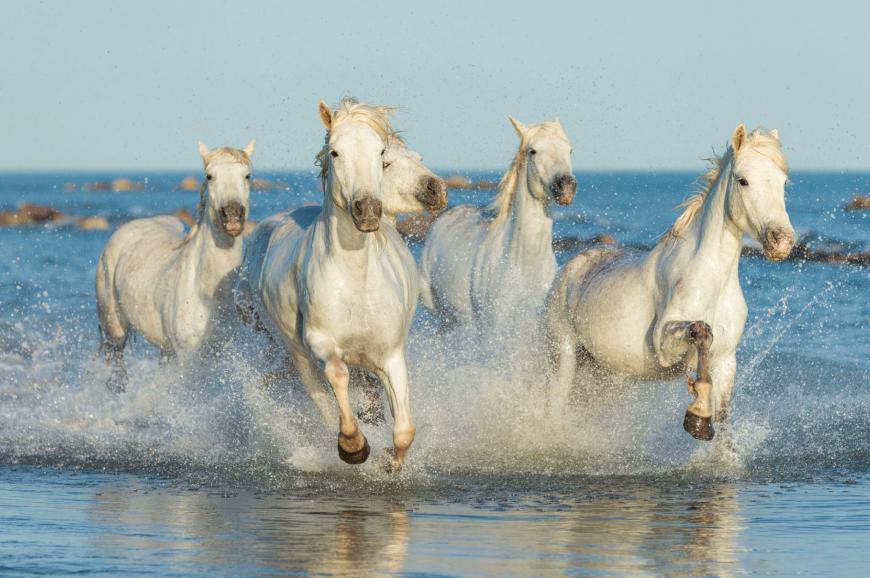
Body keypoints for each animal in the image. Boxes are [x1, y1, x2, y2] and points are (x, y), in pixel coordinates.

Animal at [98, 141, 258, 390]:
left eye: (247, 175)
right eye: (209, 176)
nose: (232, 216)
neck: (207, 294)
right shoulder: (187, 357)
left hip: (166, 348)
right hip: (114, 325)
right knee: (117, 355)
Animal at [242, 99, 422, 468]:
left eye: (381, 153)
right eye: (336, 152)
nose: (367, 211)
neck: (355, 280)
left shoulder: (391, 355)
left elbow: (404, 430)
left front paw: (389, 462)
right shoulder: (319, 343)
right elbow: (338, 376)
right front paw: (354, 446)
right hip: (297, 355)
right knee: (321, 399)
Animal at [548, 126, 792, 438]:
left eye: (783, 182)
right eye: (743, 180)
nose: (781, 241)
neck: (712, 281)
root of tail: (569, 269)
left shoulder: (726, 361)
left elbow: (724, 426)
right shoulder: (664, 343)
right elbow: (701, 331)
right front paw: (698, 416)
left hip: (606, 373)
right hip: (563, 356)